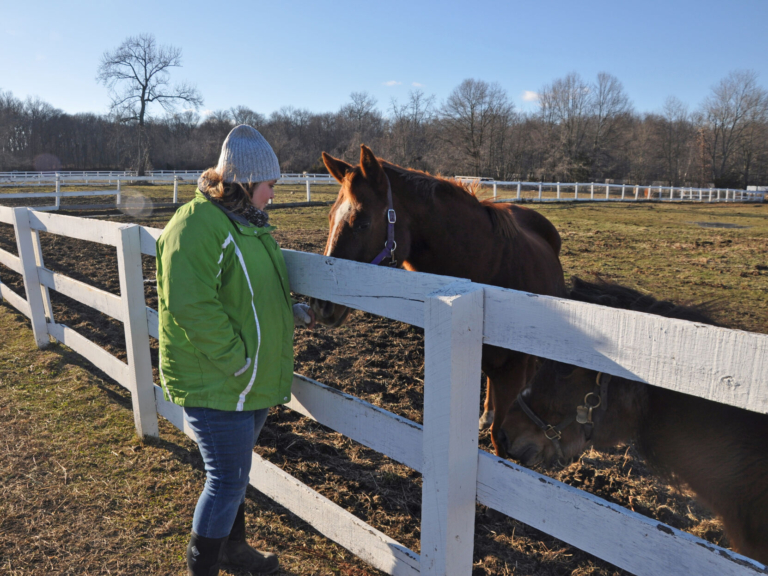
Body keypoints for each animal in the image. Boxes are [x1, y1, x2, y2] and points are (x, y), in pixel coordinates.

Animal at [310, 144, 566, 456]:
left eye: (362, 223)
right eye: (330, 217)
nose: (321, 305)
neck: (490, 267)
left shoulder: (513, 371)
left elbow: (500, 439)